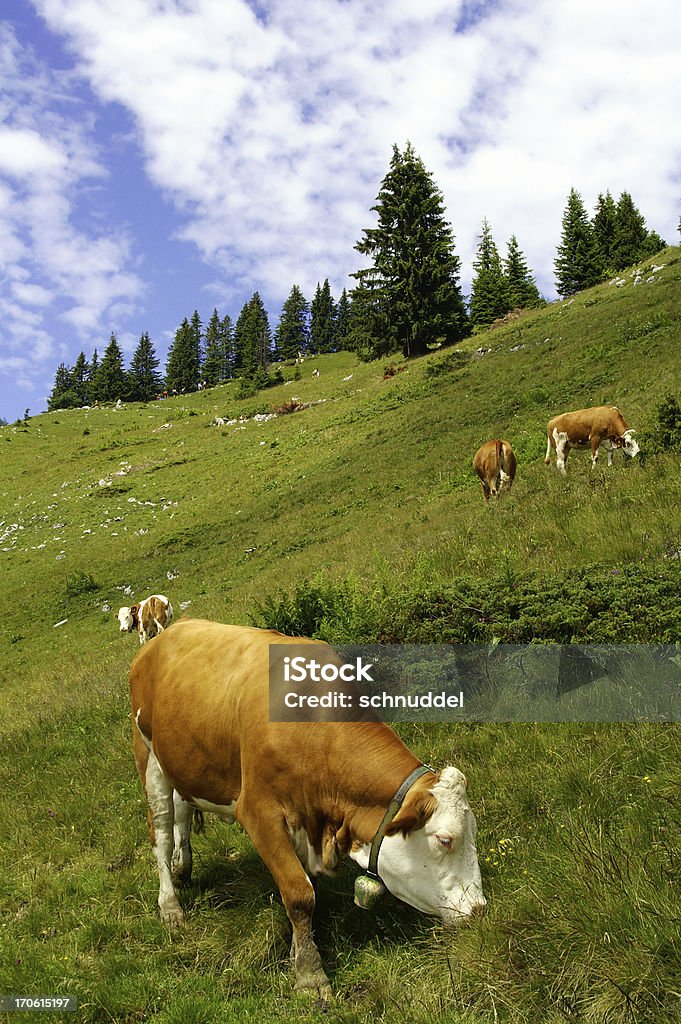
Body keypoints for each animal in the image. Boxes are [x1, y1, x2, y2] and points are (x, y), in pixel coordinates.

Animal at [130, 618, 485, 995]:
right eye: (445, 840)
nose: (479, 910)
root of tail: (169, 631)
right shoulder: (260, 813)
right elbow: (300, 894)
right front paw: (310, 972)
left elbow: (303, 887)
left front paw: (298, 949)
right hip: (147, 754)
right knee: (161, 829)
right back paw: (170, 906)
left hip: (182, 760)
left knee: (182, 810)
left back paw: (183, 867)